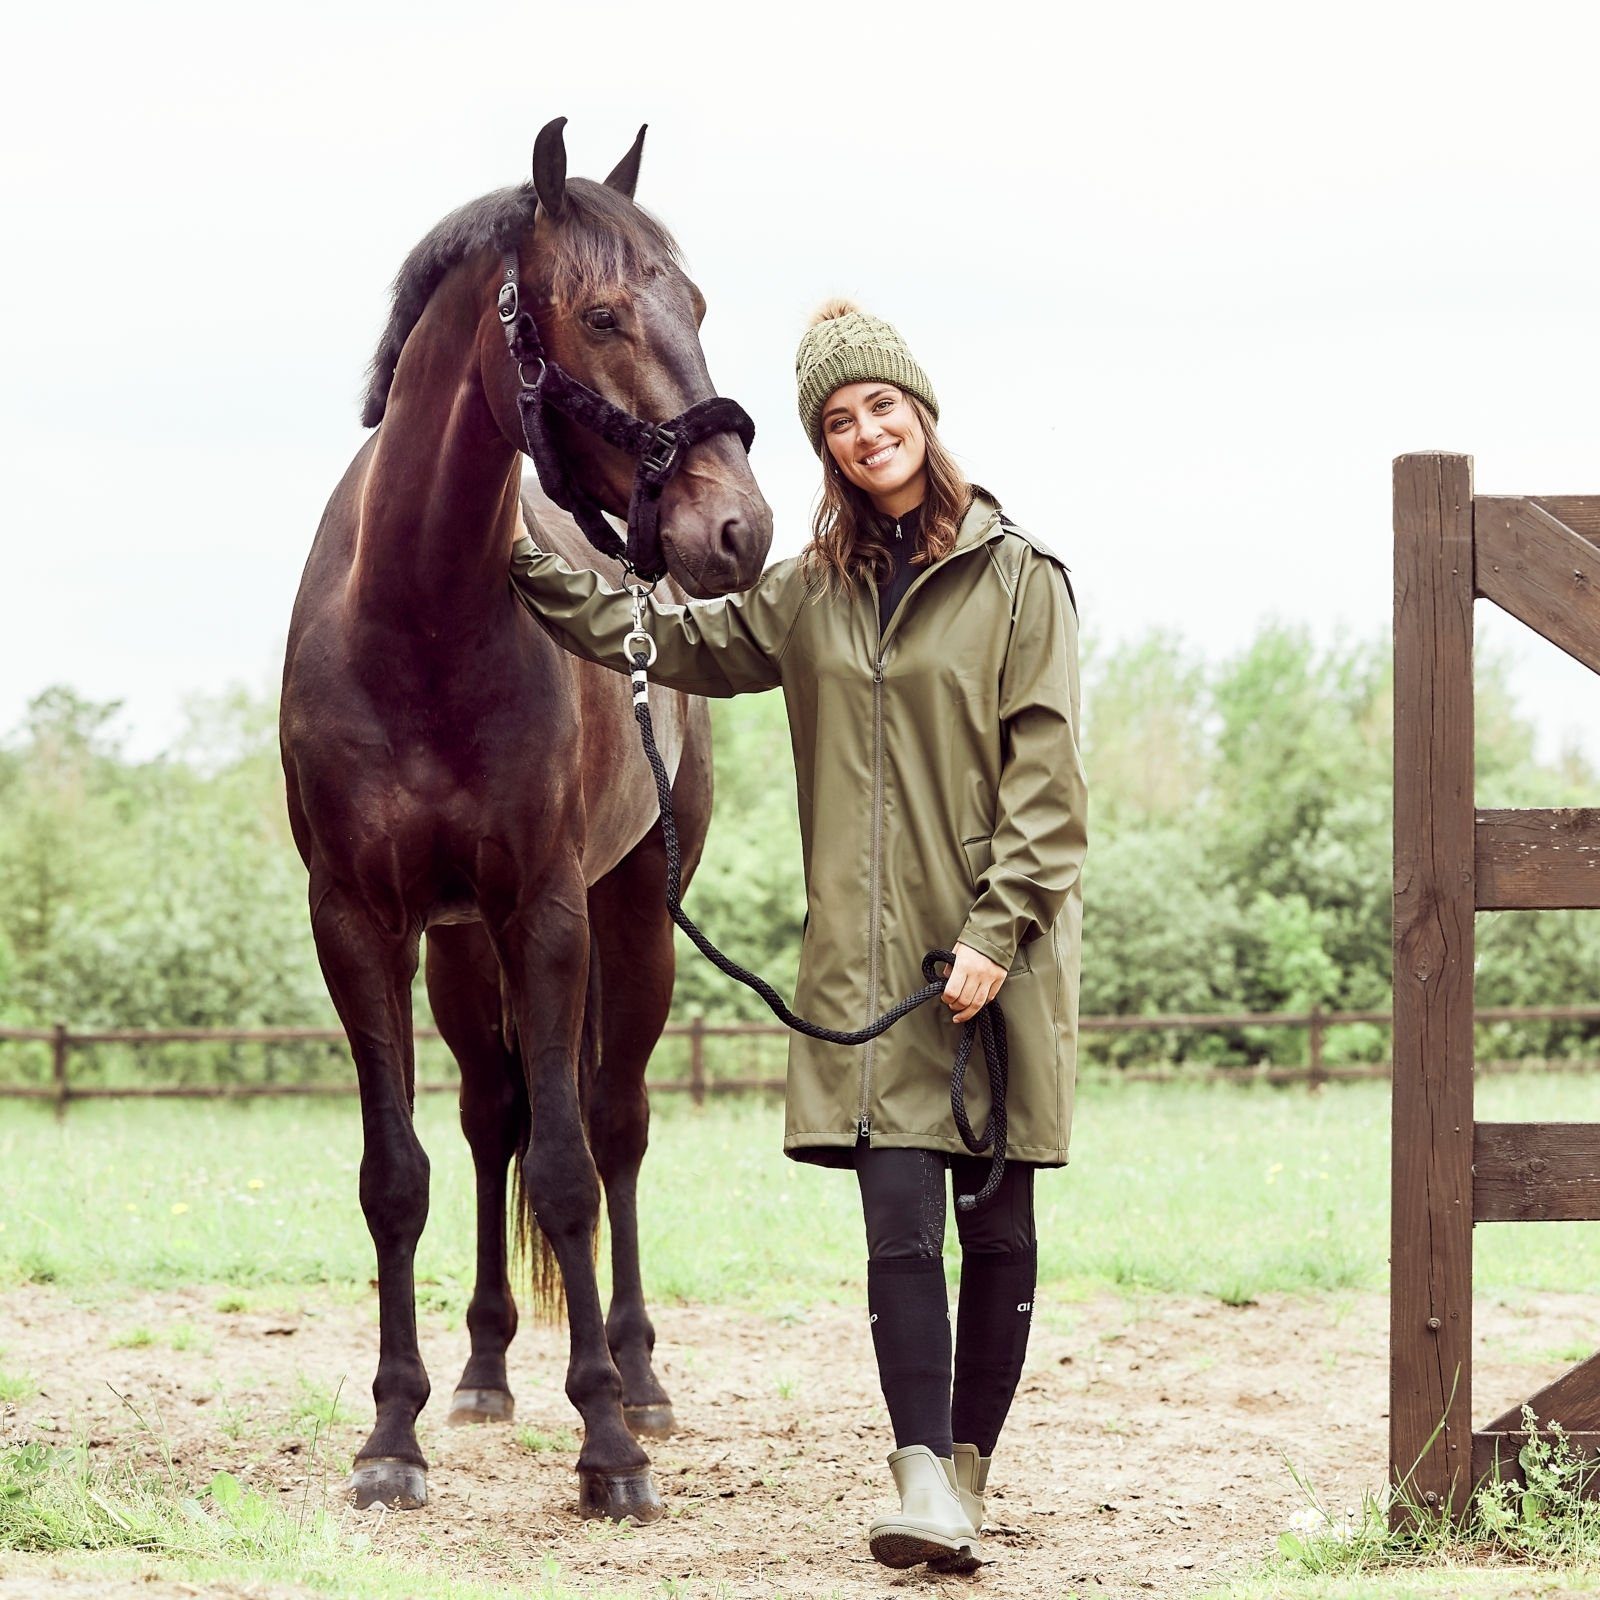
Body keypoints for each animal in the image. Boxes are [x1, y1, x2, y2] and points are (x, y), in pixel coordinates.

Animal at [278, 124, 771, 1523]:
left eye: (694, 303)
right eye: (601, 313)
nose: (740, 528)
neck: (418, 613)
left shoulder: (549, 913)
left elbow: (566, 1169)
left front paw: (606, 1440)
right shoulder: (362, 923)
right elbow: (399, 1175)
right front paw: (391, 1432)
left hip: (630, 922)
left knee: (610, 1127)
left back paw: (640, 1376)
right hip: (461, 948)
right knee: (492, 1116)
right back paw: (487, 1369)